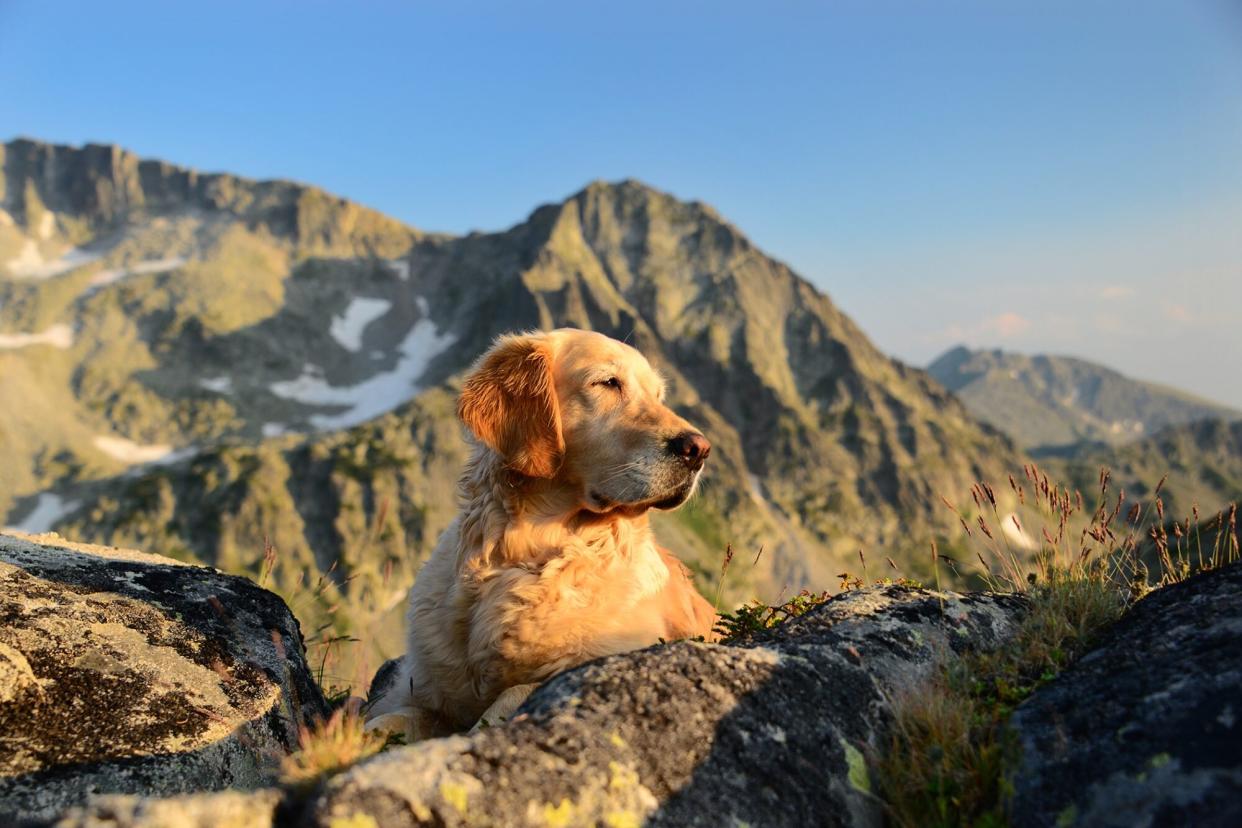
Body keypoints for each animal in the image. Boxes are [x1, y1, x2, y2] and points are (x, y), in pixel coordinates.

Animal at [365, 327, 720, 739]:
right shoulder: (424, 691)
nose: (699, 450)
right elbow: (387, 719)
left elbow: (515, 692)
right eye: (608, 383)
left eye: (658, 396)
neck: (518, 556)